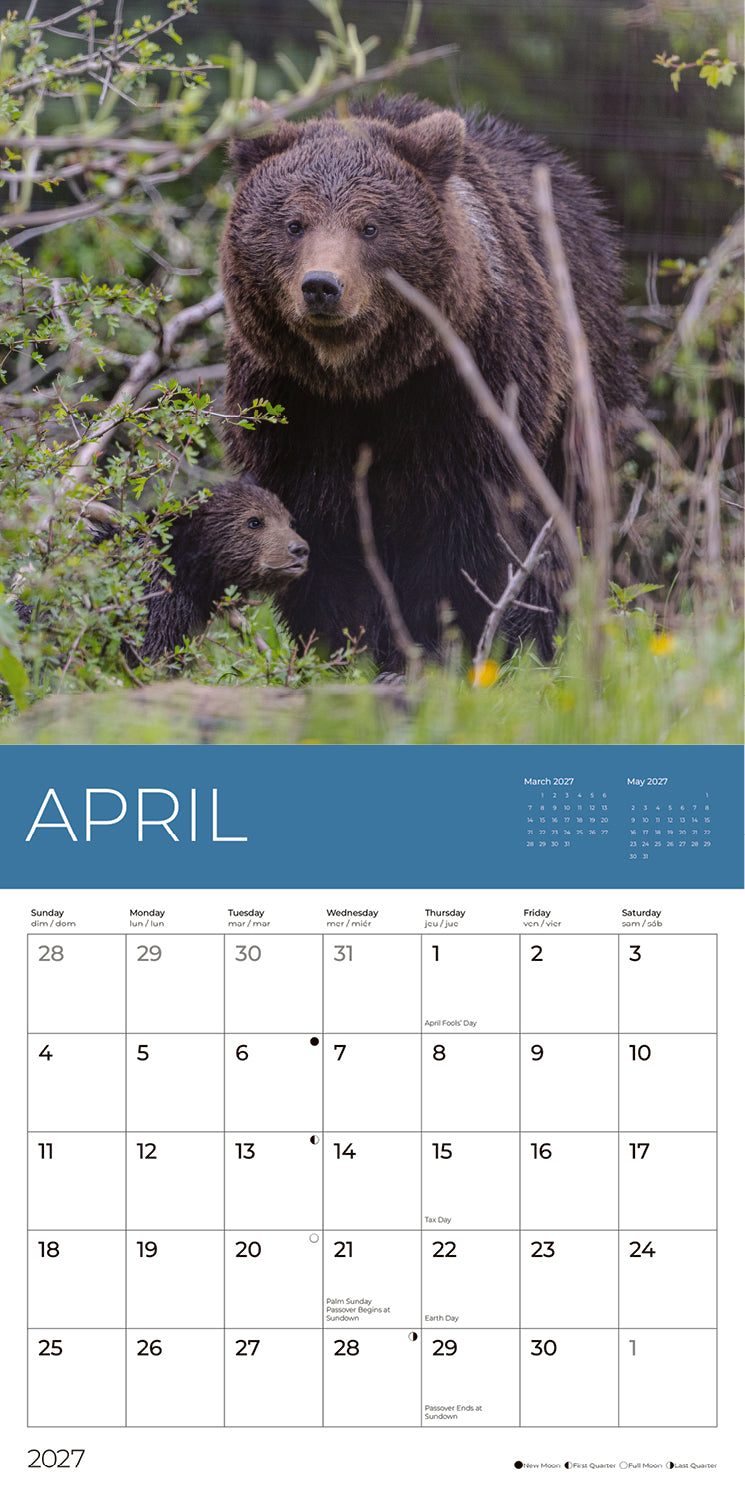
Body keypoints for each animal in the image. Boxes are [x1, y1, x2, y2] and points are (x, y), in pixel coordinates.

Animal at [211, 93, 639, 670]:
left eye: (370, 227)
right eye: (294, 223)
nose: (322, 286)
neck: (362, 379)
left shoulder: (464, 392)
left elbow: (462, 537)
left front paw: (440, 645)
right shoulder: (293, 409)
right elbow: (320, 535)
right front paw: (343, 645)